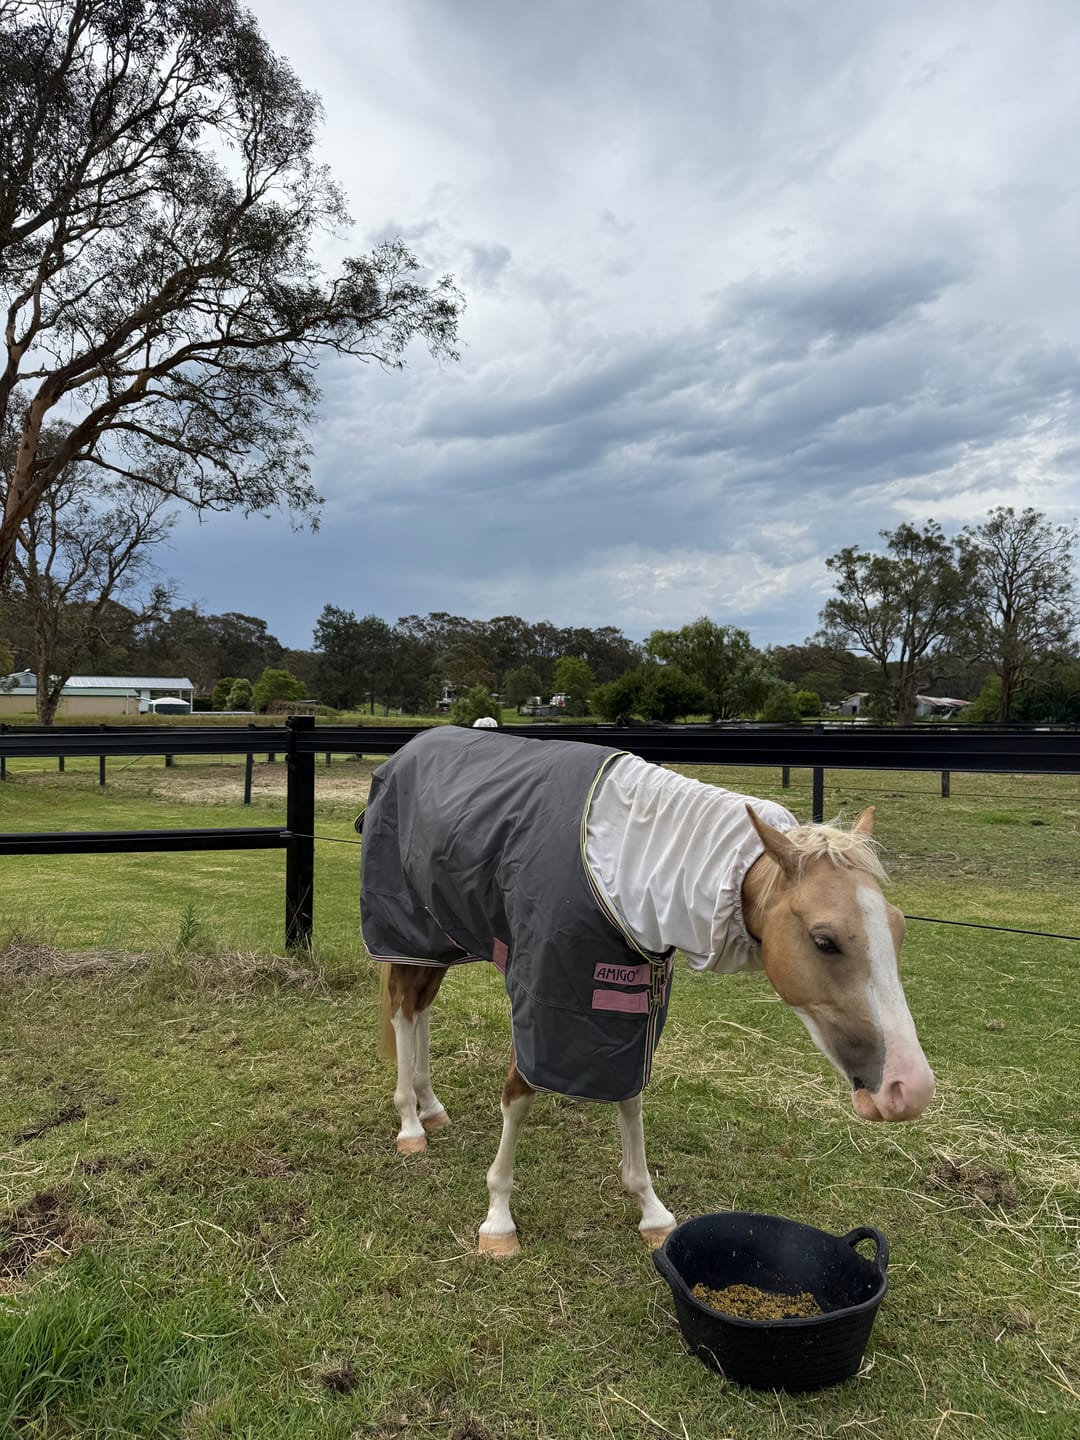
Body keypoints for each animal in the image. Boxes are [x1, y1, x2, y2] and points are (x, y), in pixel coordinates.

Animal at [361, 726, 935, 1258]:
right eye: (824, 940)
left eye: (899, 929)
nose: (910, 1089)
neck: (629, 861)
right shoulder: (543, 999)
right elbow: (519, 1095)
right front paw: (498, 1219)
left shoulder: (628, 1007)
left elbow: (630, 1097)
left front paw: (651, 1211)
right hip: (407, 931)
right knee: (403, 1013)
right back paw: (410, 1123)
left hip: (441, 939)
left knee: (419, 1010)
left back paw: (430, 1105)